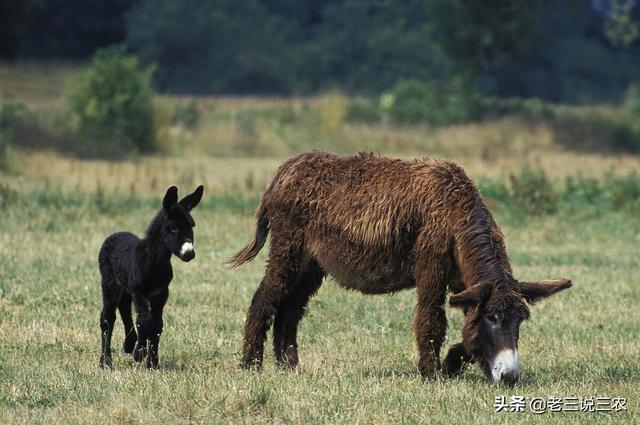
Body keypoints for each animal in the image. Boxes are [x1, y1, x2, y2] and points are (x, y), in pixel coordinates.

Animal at [98, 186, 202, 368]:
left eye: (192, 226)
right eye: (173, 228)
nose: (189, 254)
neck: (153, 260)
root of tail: (114, 235)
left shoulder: (160, 293)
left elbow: (157, 325)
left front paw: (152, 361)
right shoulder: (140, 291)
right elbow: (145, 322)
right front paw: (140, 354)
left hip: (126, 288)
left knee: (124, 310)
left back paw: (128, 344)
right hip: (110, 284)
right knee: (108, 318)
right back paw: (106, 361)